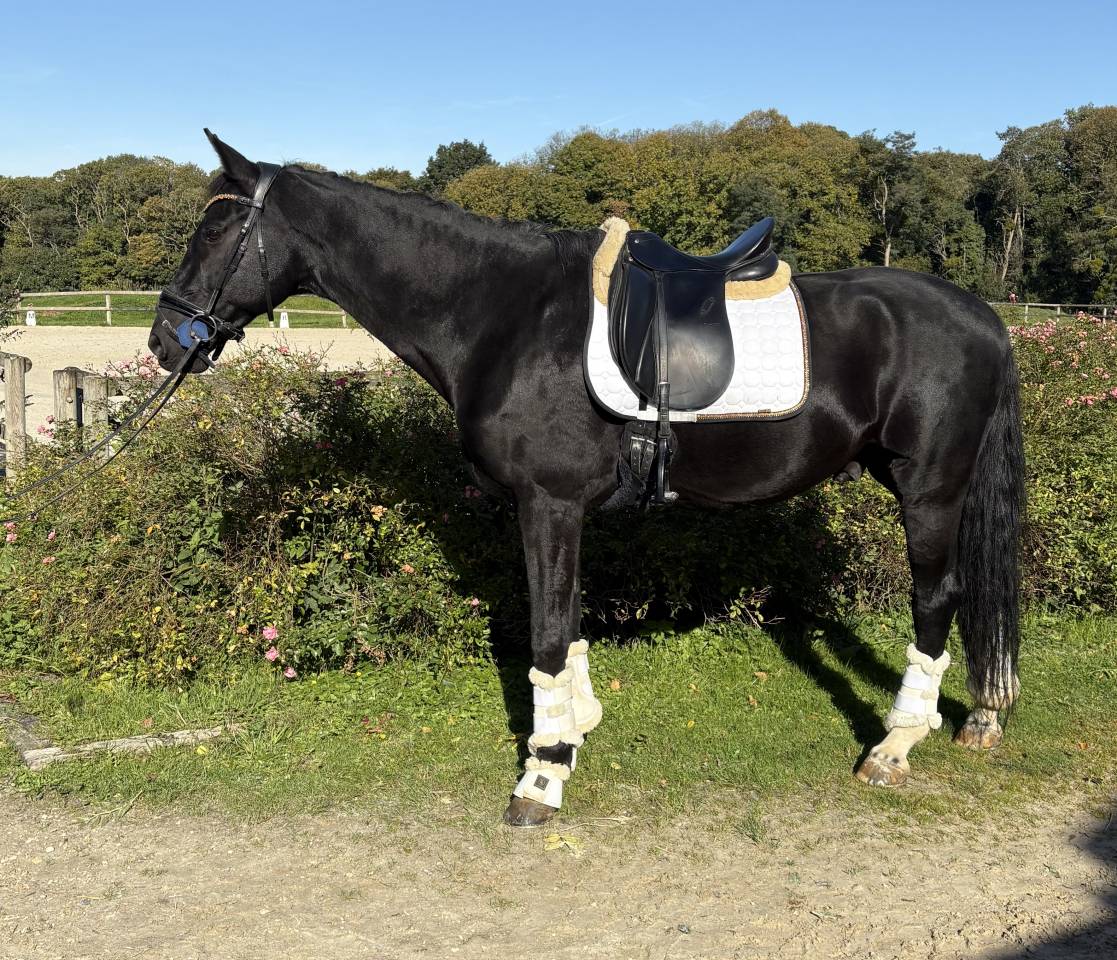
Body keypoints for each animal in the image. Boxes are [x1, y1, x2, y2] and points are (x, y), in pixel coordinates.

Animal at [148, 132, 1024, 827]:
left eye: (218, 228)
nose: (164, 339)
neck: (503, 315)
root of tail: (983, 316)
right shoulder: (557, 510)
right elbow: (564, 621)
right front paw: (573, 727)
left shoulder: (548, 502)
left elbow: (543, 631)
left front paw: (541, 774)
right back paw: (979, 716)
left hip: (929, 488)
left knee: (937, 598)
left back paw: (894, 745)